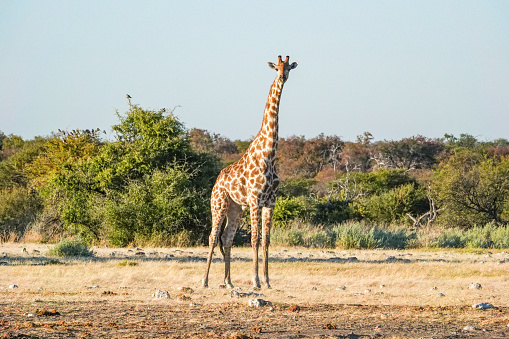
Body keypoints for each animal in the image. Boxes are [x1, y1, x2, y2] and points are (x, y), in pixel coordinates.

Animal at [202, 55, 298, 290]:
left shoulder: (270, 202)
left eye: (289, 68)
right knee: (212, 237)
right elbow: (254, 239)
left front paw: (267, 281)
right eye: (276, 67)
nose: (282, 77)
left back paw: (228, 282)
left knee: (227, 238)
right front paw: (256, 281)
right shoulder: (255, 200)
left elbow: (266, 240)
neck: (269, 154)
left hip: (236, 208)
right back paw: (205, 281)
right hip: (219, 204)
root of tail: (216, 182)